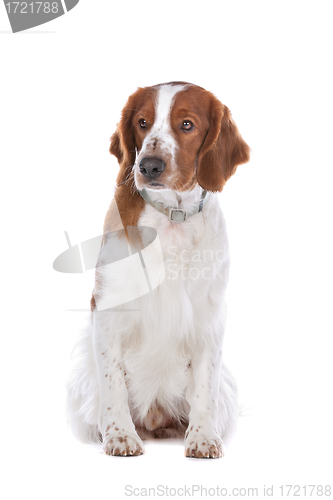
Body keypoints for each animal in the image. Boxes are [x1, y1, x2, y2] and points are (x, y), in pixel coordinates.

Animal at [67, 81, 249, 458]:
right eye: (142, 122)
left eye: (187, 125)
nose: (149, 166)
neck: (171, 218)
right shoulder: (108, 311)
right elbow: (113, 382)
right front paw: (120, 436)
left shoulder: (209, 316)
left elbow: (204, 386)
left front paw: (203, 438)